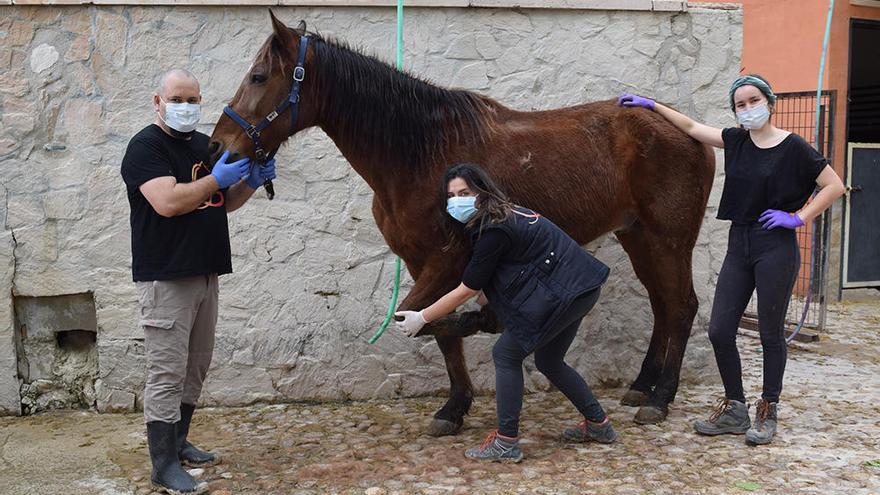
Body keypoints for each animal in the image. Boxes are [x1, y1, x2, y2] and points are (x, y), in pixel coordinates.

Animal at [211, 13, 716, 434]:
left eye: (258, 77)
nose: (219, 147)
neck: (422, 152)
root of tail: (683, 125)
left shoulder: (446, 259)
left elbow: (422, 321)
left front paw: (483, 328)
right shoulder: (421, 262)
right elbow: (434, 330)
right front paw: (453, 408)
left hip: (669, 239)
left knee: (682, 307)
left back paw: (660, 398)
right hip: (638, 237)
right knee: (662, 306)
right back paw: (642, 385)